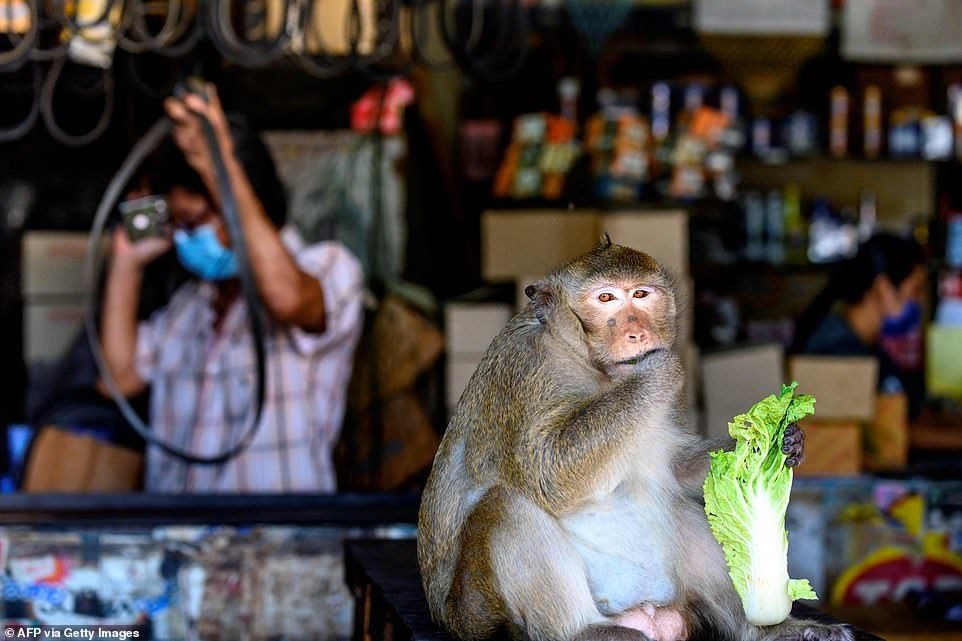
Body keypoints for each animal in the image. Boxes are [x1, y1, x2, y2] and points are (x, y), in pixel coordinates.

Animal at [414, 239, 848, 640]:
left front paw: (782, 441)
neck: (594, 367)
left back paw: (768, 629)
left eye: (641, 294)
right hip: (481, 613)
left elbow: (674, 469)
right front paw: (658, 370)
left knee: (686, 511)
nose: (637, 332)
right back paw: (581, 631)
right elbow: (546, 471)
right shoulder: (529, 369)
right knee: (504, 506)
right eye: (605, 298)